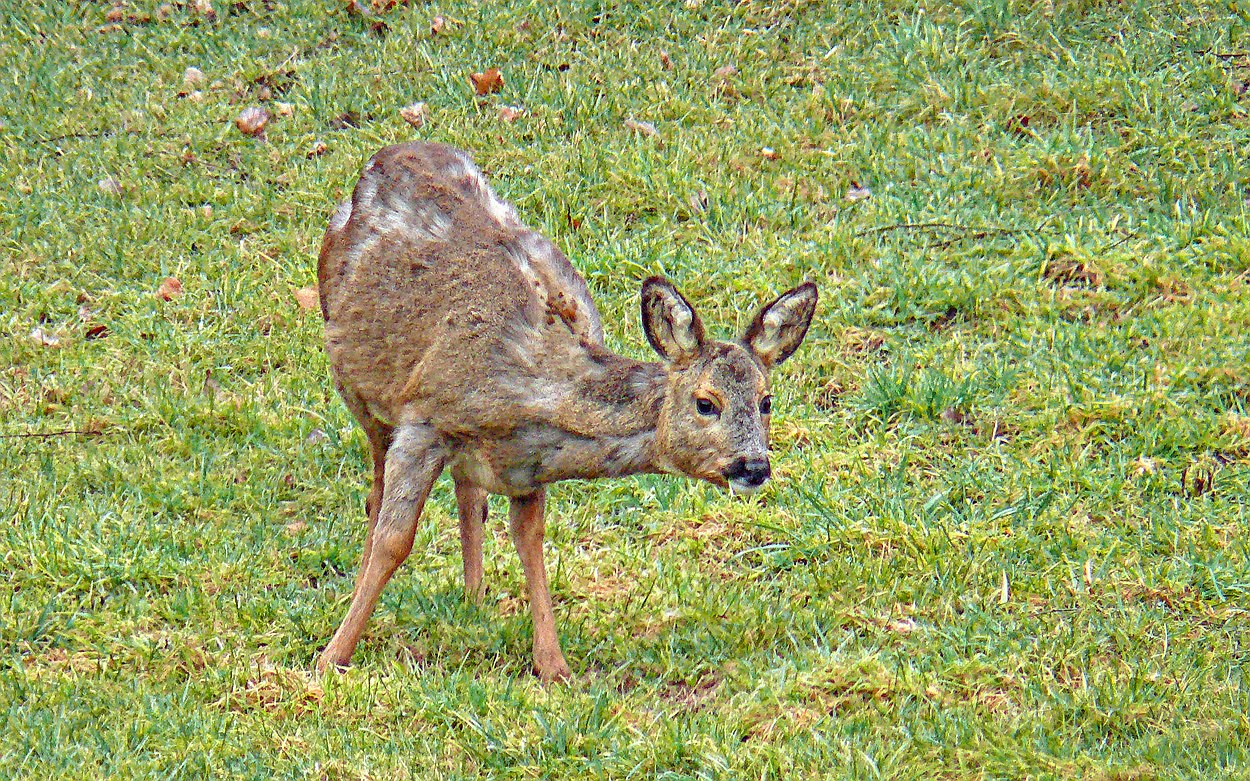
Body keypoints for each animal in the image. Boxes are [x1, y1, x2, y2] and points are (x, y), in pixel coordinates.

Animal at [317, 141, 815, 679]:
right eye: (706, 403)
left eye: (766, 401)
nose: (754, 466)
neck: (531, 388)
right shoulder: (424, 421)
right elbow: (395, 540)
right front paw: (332, 656)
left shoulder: (526, 466)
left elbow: (529, 540)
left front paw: (552, 664)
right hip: (357, 387)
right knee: (376, 490)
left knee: (469, 493)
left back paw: (474, 597)